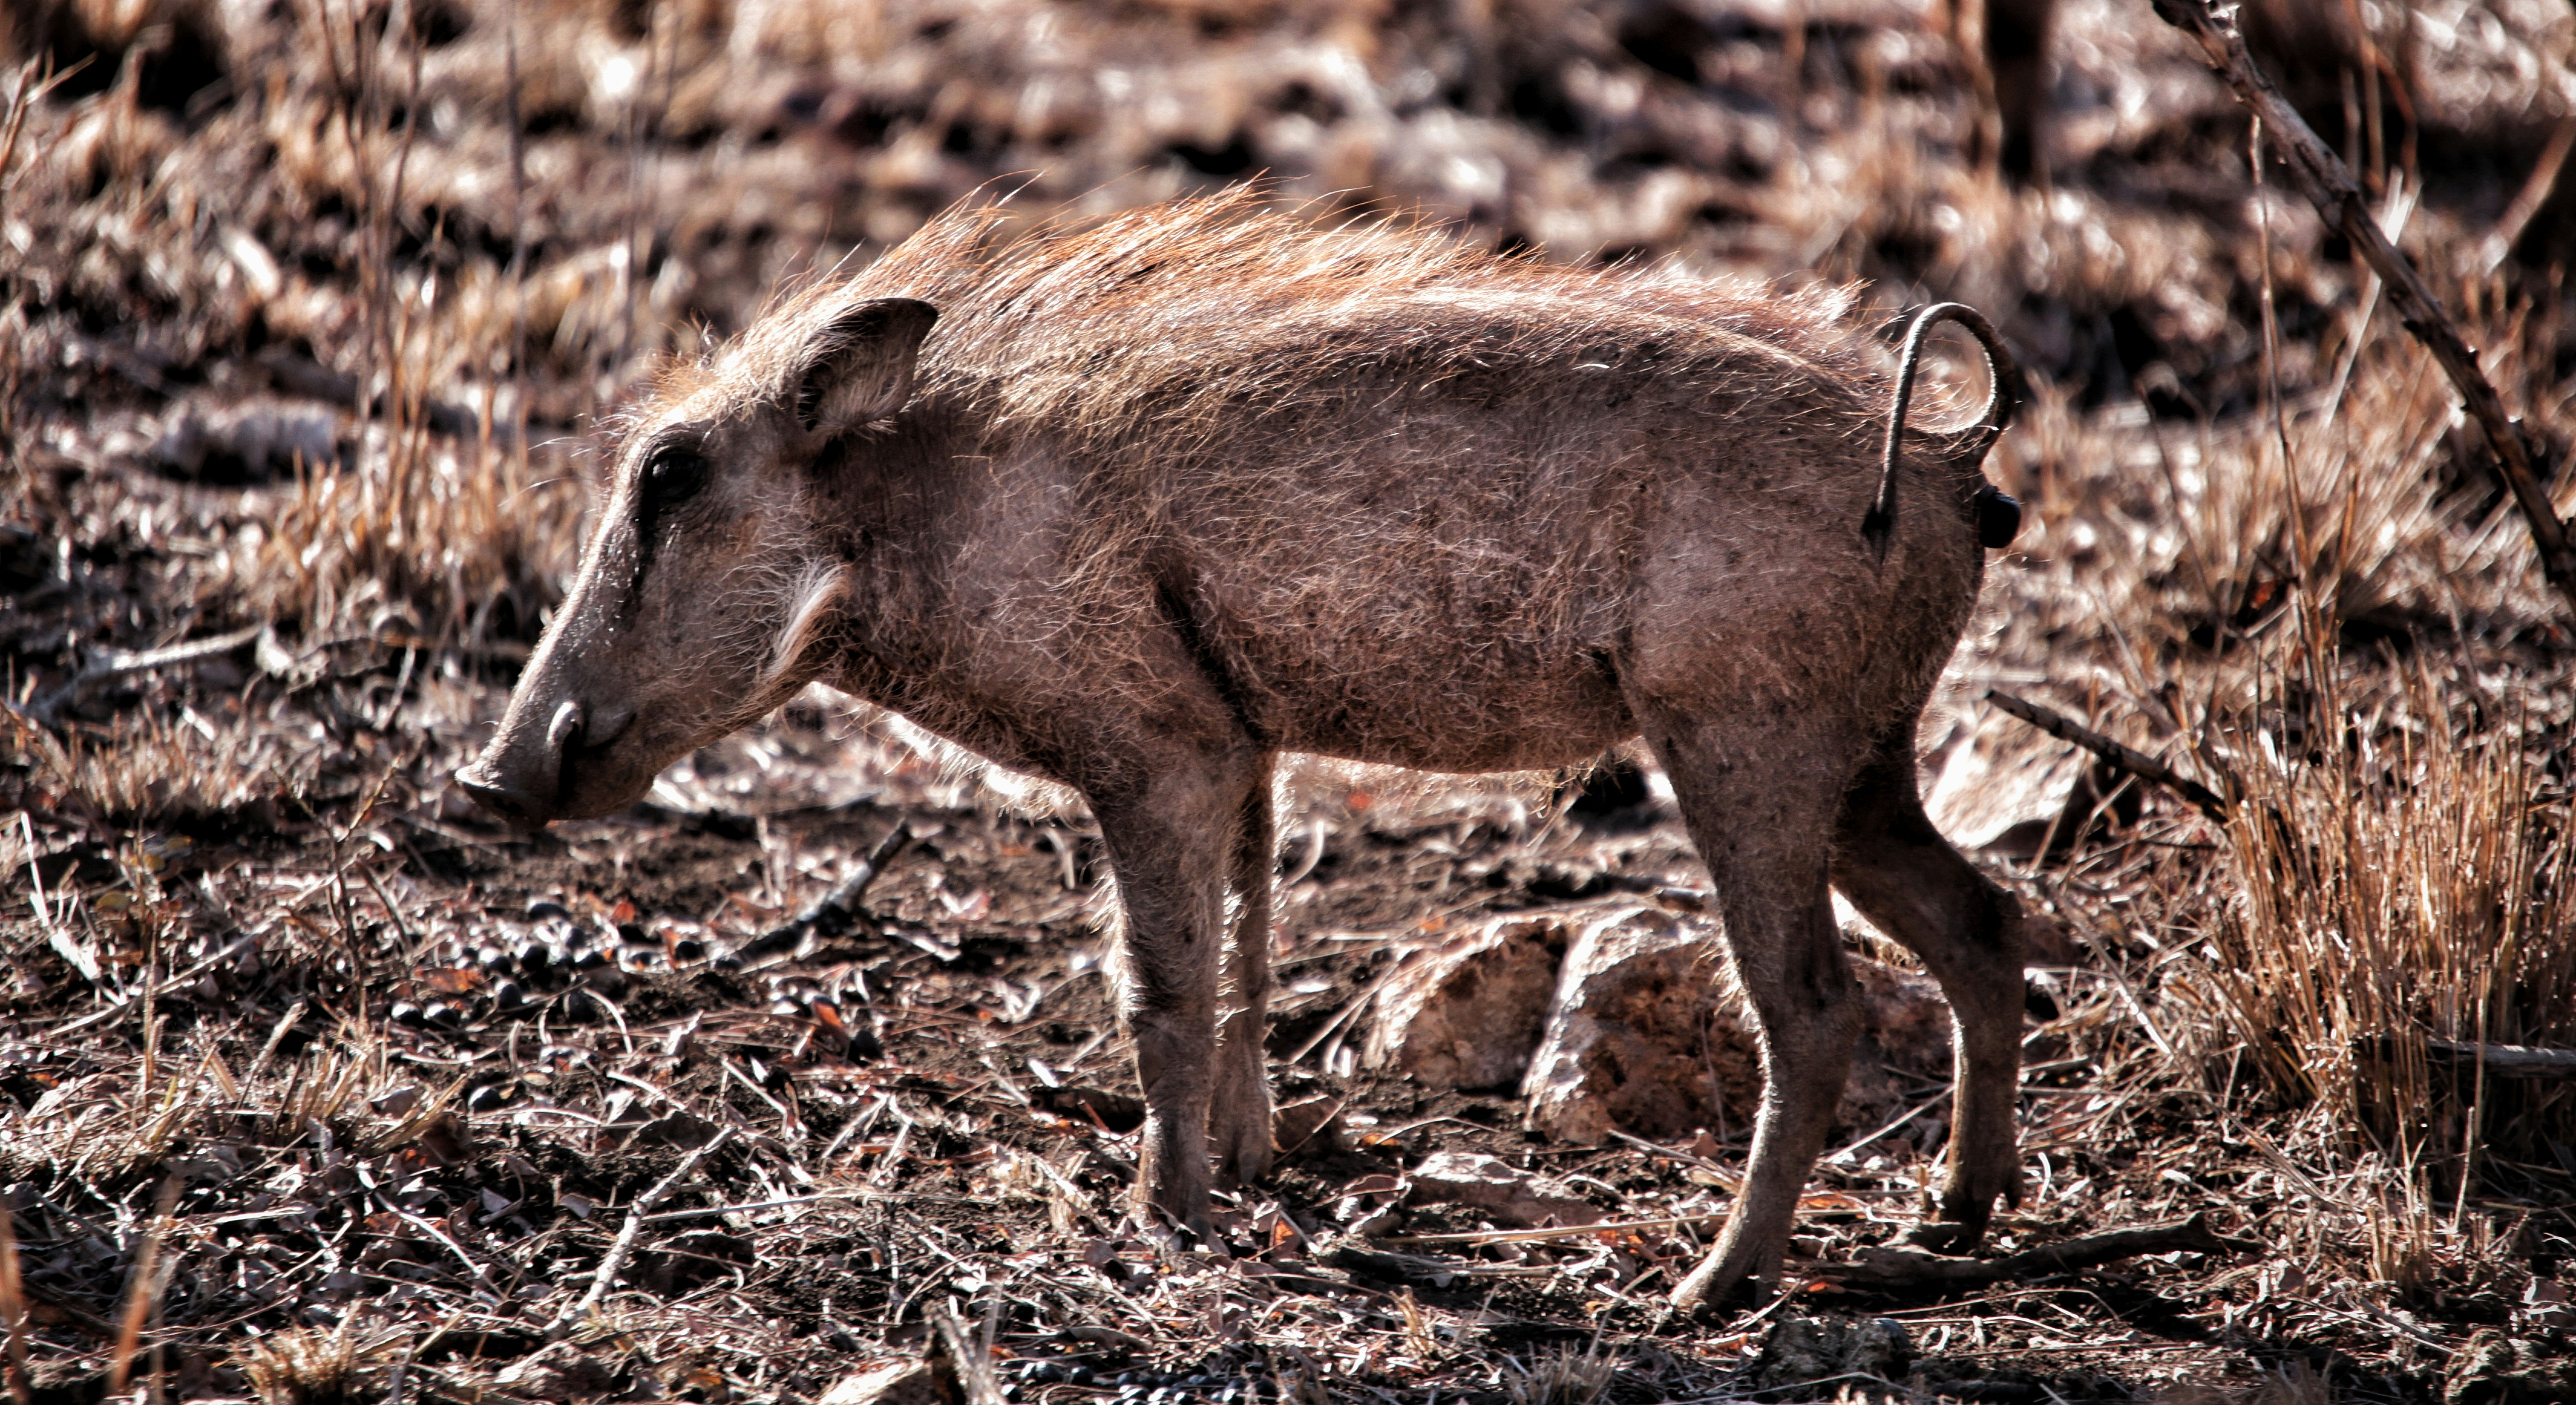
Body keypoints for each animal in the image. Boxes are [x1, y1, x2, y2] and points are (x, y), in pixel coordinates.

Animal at [457, 192, 2034, 1312]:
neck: (916, 518)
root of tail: (1941, 459)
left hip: (1742, 749)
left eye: (669, 473)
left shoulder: (1156, 761)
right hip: (1860, 766)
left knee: (1814, 1007)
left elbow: (1158, 989)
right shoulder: (1240, 756)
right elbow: (1246, 965)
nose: (490, 778)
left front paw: (1169, 1218)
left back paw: (1706, 1293)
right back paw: (1956, 1212)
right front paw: (1244, 1169)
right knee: (1981, 923)